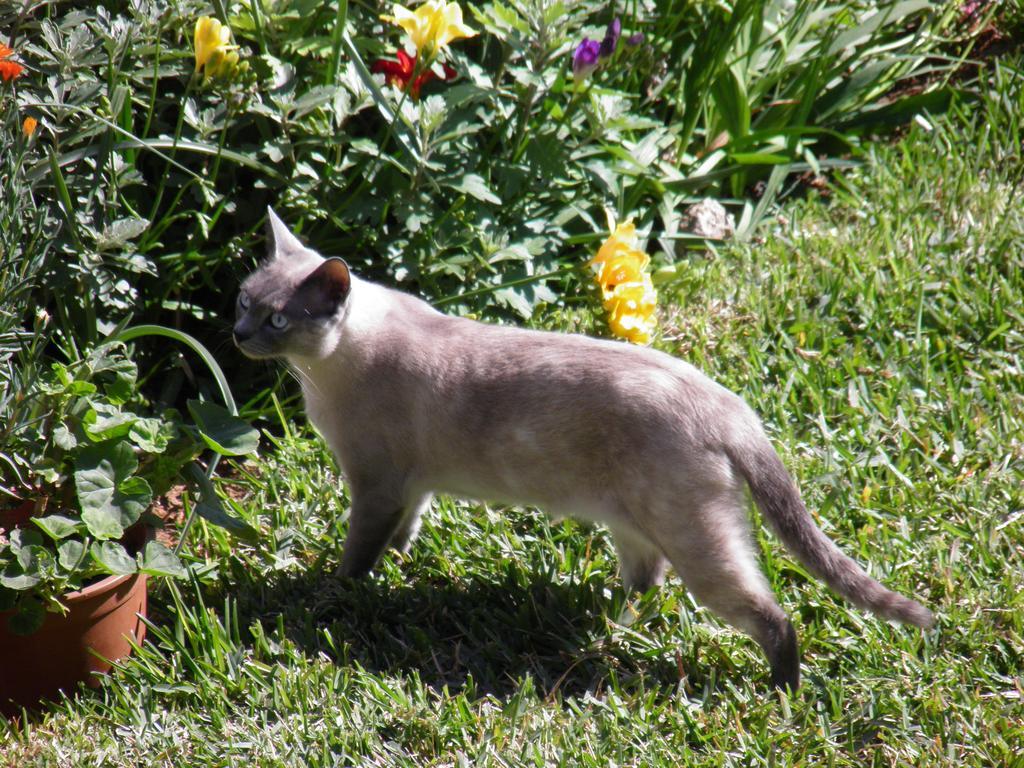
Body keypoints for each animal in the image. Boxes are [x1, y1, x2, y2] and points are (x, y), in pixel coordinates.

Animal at [234, 208, 937, 692]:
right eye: (244, 300)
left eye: (279, 320)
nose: (238, 335)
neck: (323, 373)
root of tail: (727, 404)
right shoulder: (412, 486)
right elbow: (404, 536)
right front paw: (398, 570)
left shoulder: (375, 483)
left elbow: (356, 556)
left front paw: (332, 597)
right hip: (634, 522)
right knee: (648, 581)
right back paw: (611, 620)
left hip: (696, 543)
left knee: (773, 616)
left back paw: (783, 695)